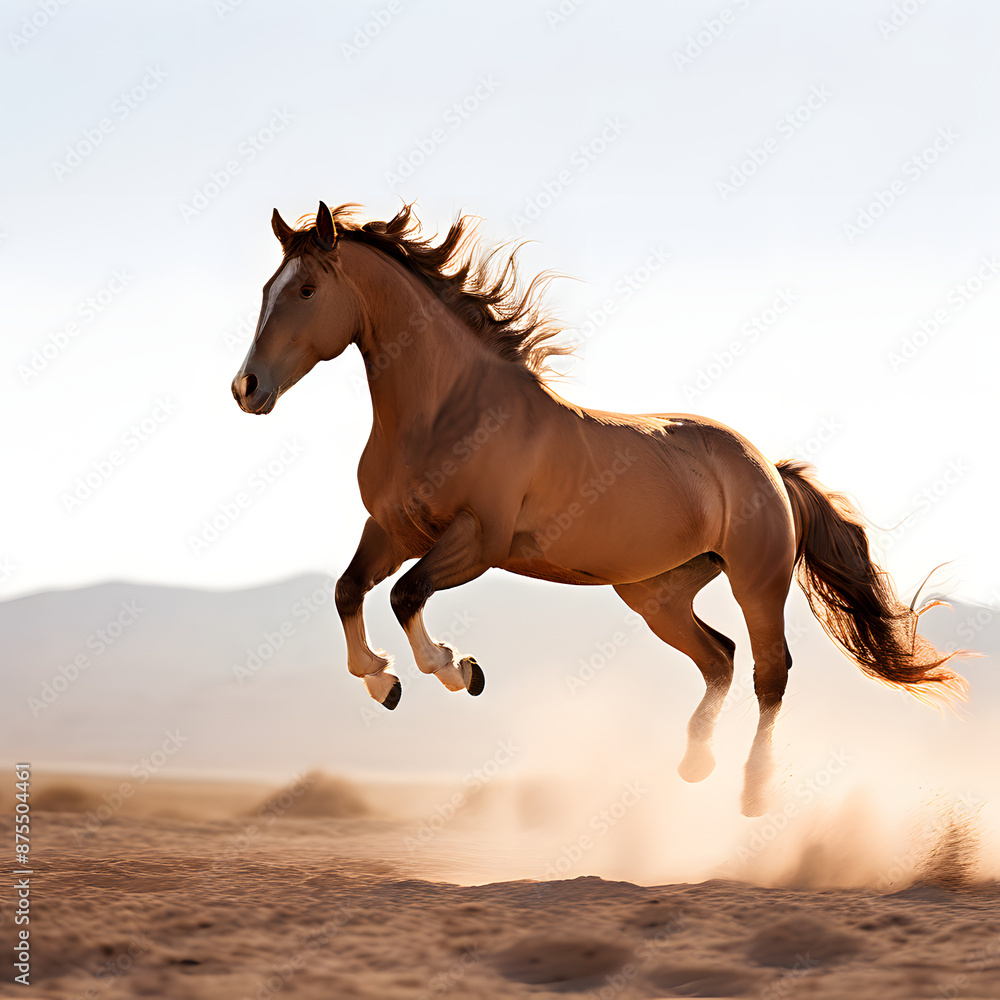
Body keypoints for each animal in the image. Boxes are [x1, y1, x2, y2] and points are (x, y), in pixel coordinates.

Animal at [231, 201, 965, 816]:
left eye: (305, 290)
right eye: (267, 288)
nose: (247, 388)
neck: (446, 410)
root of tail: (769, 470)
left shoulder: (477, 542)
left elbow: (404, 595)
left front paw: (456, 670)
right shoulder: (392, 529)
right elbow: (348, 591)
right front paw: (382, 682)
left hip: (757, 581)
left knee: (769, 672)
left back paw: (753, 794)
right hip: (655, 592)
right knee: (719, 657)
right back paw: (695, 762)